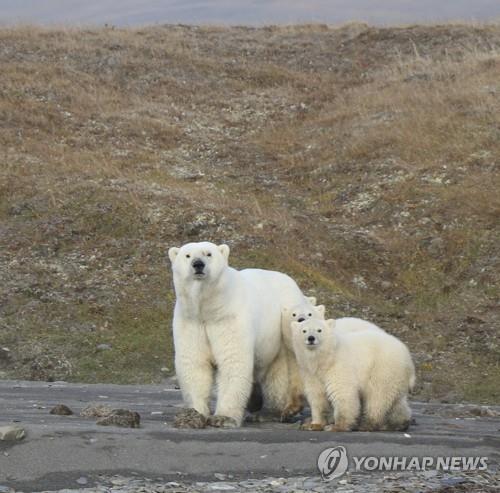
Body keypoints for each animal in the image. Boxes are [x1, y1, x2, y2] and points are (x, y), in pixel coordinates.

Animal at [169, 240, 308, 424]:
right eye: (187, 255)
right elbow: (194, 363)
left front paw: (223, 417)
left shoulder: (229, 318)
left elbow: (232, 360)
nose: (198, 264)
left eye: (208, 254)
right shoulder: (191, 321)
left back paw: (288, 408)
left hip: (286, 321)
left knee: (289, 366)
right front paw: (196, 412)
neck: (209, 309)